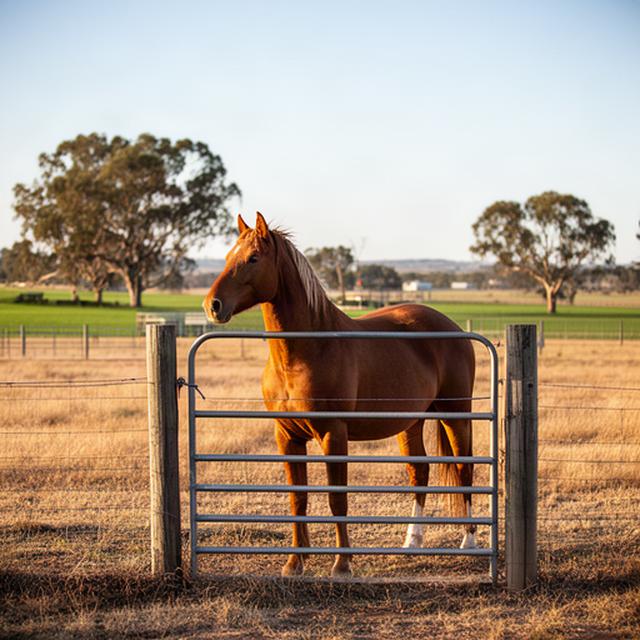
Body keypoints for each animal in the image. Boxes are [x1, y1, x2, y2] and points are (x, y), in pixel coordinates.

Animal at [203, 212, 477, 578]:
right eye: (227, 257)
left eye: (253, 258)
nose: (213, 305)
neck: (305, 352)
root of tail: (451, 327)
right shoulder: (287, 436)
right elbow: (298, 498)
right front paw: (295, 563)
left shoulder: (333, 433)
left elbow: (337, 499)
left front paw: (342, 564)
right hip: (412, 422)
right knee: (419, 473)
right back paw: (411, 542)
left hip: (455, 416)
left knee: (465, 470)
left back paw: (470, 542)